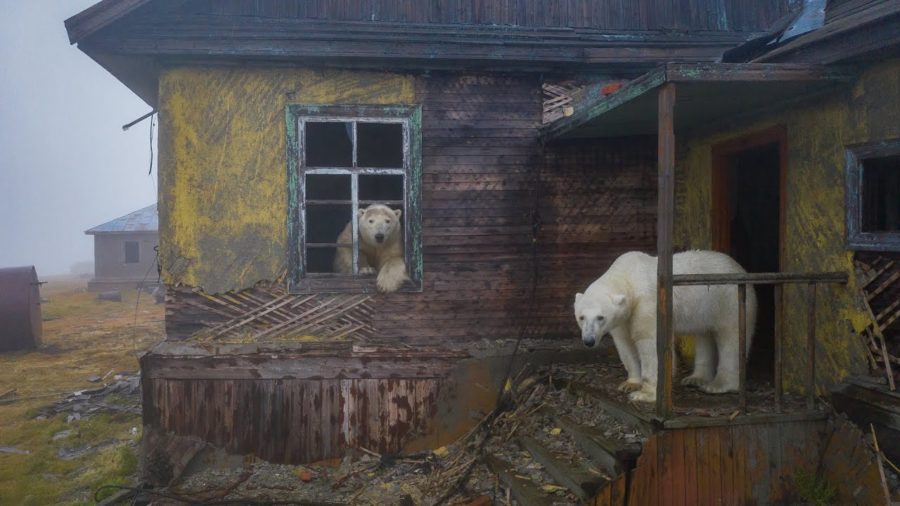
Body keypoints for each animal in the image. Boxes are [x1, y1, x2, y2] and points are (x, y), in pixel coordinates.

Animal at [572, 250, 756, 404]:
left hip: (728, 300)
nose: (589, 341)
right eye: (581, 317)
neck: (628, 276)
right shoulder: (623, 318)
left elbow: (650, 344)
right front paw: (630, 384)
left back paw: (718, 385)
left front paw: (644, 394)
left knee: (731, 338)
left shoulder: (647, 304)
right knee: (704, 334)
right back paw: (696, 378)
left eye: (600, 317)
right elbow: (625, 344)